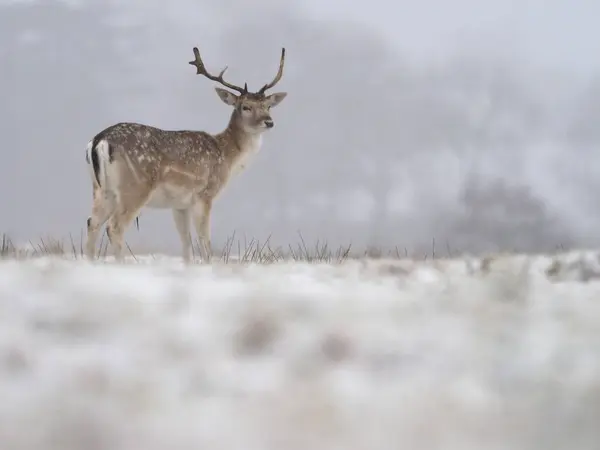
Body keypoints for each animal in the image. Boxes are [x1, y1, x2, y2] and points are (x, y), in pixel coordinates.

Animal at [83, 44, 288, 264]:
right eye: (245, 107)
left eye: (268, 106)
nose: (269, 122)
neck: (226, 156)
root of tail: (99, 141)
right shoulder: (204, 194)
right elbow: (204, 241)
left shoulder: (180, 204)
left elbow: (186, 241)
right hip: (135, 186)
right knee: (114, 227)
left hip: (101, 190)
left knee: (91, 222)